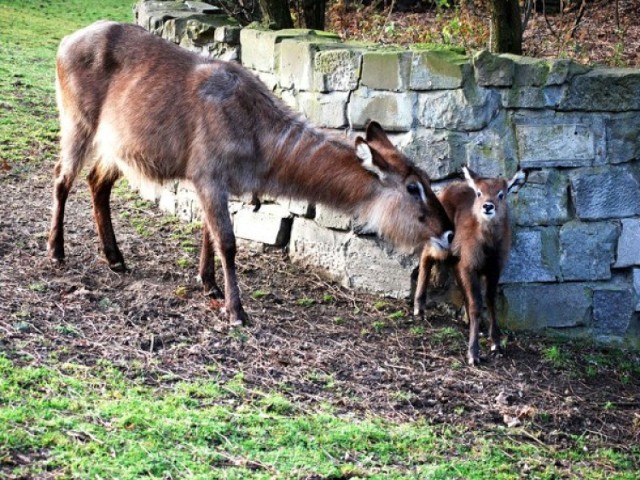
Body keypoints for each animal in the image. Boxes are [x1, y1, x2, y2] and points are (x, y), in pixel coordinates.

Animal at [47, 19, 452, 326]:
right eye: (413, 187)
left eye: (428, 180)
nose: (448, 231)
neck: (257, 130)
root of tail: (66, 41)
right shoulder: (208, 176)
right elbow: (227, 240)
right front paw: (236, 310)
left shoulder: (217, 183)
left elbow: (208, 233)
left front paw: (209, 285)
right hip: (78, 125)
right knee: (61, 177)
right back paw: (57, 251)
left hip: (117, 149)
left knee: (96, 183)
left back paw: (115, 258)